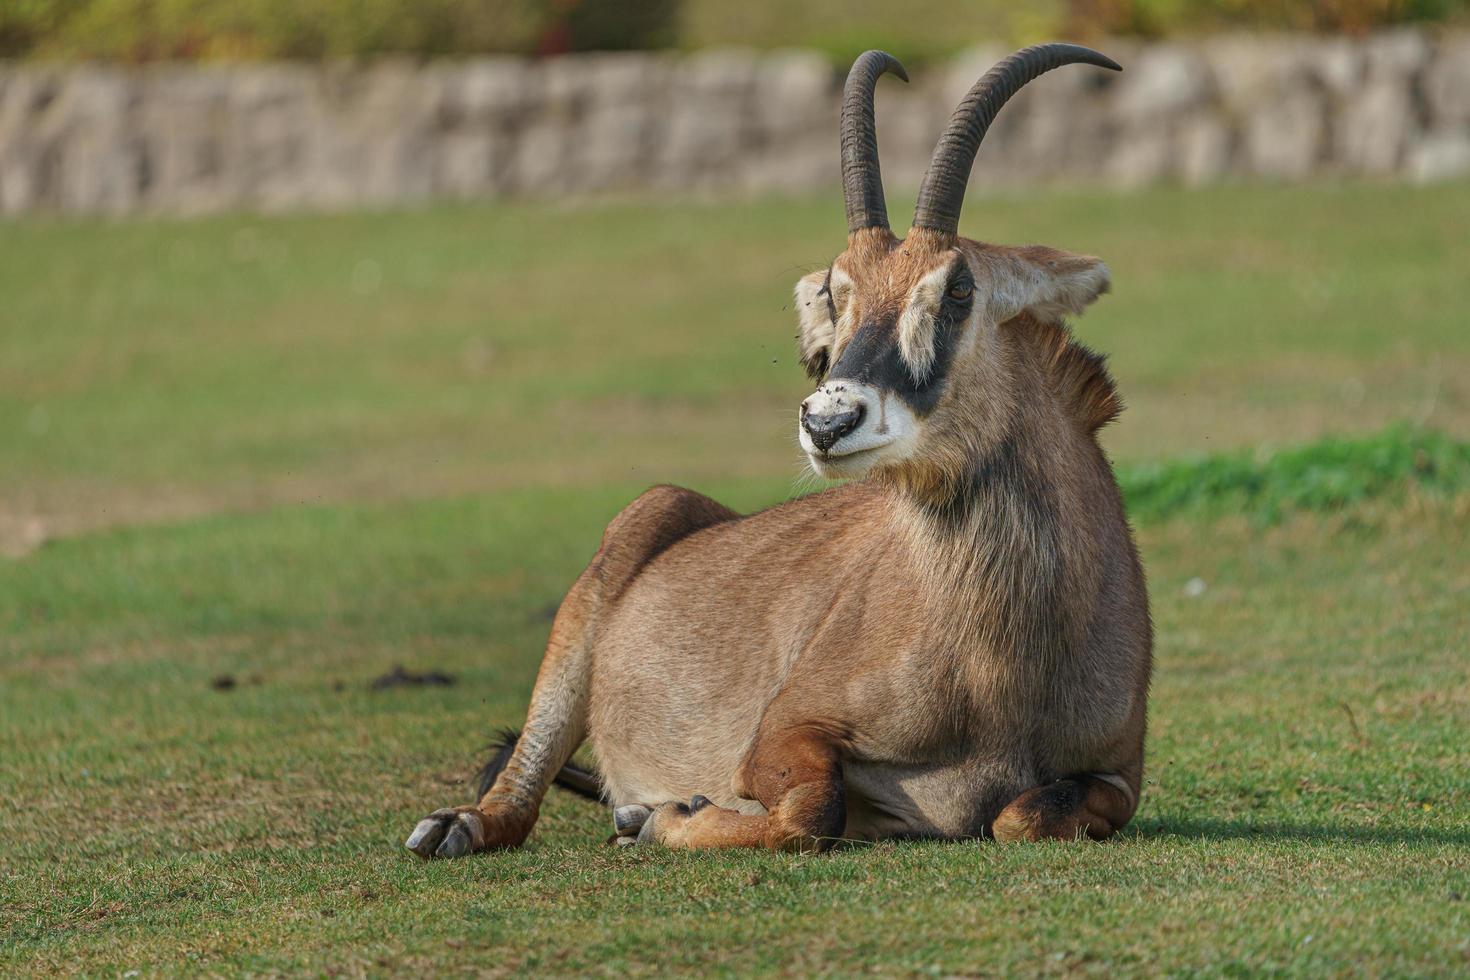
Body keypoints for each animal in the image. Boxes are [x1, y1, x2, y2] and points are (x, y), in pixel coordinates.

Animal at [411, 44, 1146, 858]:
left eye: (958, 289)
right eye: (836, 289)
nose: (829, 422)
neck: (997, 670)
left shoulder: (1119, 774)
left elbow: (1026, 814)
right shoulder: (783, 731)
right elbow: (811, 811)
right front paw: (667, 814)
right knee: (518, 788)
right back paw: (467, 824)